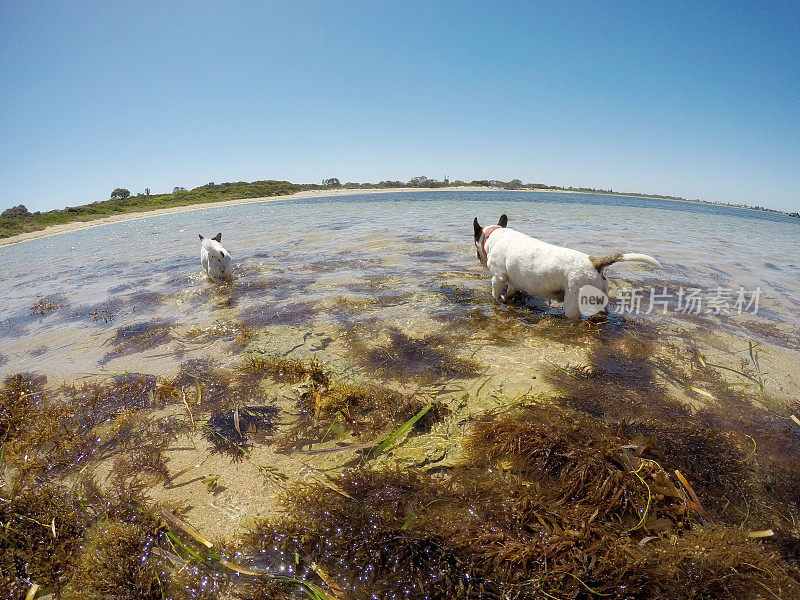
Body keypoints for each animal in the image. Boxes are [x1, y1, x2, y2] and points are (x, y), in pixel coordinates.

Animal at [472, 214, 660, 318]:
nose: (477, 256)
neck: (493, 236)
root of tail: (594, 262)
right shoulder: (513, 280)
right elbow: (511, 289)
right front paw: (508, 298)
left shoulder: (498, 278)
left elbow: (495, 294)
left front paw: (498, 300)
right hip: (602, 299)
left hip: (572, 303)